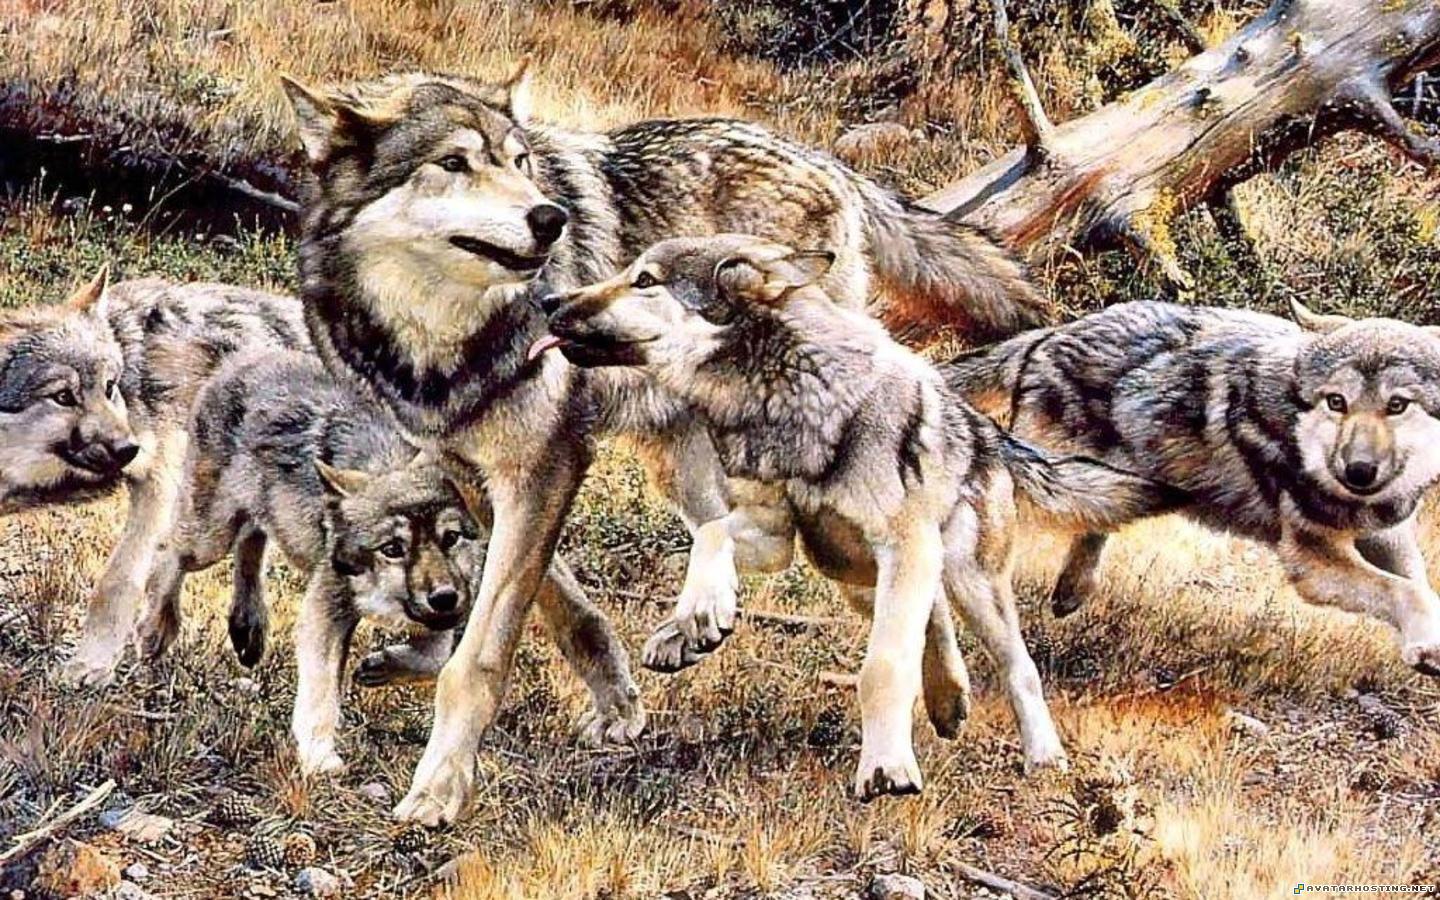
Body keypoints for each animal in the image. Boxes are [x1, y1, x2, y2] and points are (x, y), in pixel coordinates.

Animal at [0, 268, 311, 686]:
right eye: (64, 396)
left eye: (109, 387)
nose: (126, 448)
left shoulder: (159, 478)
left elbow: (119, 580)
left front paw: (92, 663)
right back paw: (245, 626)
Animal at [133, 351, 486, 774]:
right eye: (392, 548)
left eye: (451, 538)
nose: (445, 598)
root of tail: (244, 355)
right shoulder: (326, 610)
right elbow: (321, 692)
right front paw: (319, 756)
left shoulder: (442, 612)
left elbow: (433, 659)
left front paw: (381, 665)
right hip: (210, 537)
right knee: (168, 550)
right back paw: (155, 630)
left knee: (251, 544)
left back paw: (248, 628)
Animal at [281, 66, 1046, 824]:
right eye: (454, 163)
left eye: (520, 162)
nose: (551, 219)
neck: (439, 347)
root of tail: (821, 158)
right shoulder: (476, 475)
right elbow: (566, 608)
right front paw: (619, 704)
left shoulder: (544, 466)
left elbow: (478, 658)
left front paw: (438, 789)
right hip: (687, 462)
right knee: (741, 536)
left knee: (905, 561)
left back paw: (935, 694)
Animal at [535, 234, 1184, 797]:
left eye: (644, 280)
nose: (547, 301)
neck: (785, 394)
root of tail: (992, 436)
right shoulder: (777, 536)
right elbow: (711, 535)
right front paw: (698, 614)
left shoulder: (902, 546)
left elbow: (883, 667)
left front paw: (887, 768)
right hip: (845, 569)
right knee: (934, 616)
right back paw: (947, 699)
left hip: (967, 580)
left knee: (1013, 662)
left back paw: (1043, 756)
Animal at [947, 299, 1440, 675]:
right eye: (1336, 402)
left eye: (1397, 405)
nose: (1358, 471)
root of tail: (1049, 335)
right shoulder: (1311, 559)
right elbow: (1404, 589)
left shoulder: (1389, 532)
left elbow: (1416, 581)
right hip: (1041, 488)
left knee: (1095, 528)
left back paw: (1070, 593)